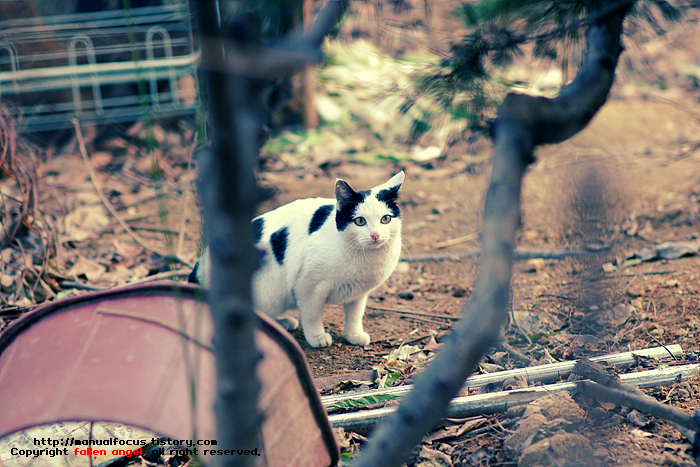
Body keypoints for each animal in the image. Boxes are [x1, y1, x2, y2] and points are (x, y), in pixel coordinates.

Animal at [189, 171, 404, 348]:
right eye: (360, 221)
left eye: (386, 219)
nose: (375, 235)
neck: (365, 259)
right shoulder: (309, 288)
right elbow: (312, 315)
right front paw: (317, 337)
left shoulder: (358, 293)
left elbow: (354, 315)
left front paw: (354, 335)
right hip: (266, 292)